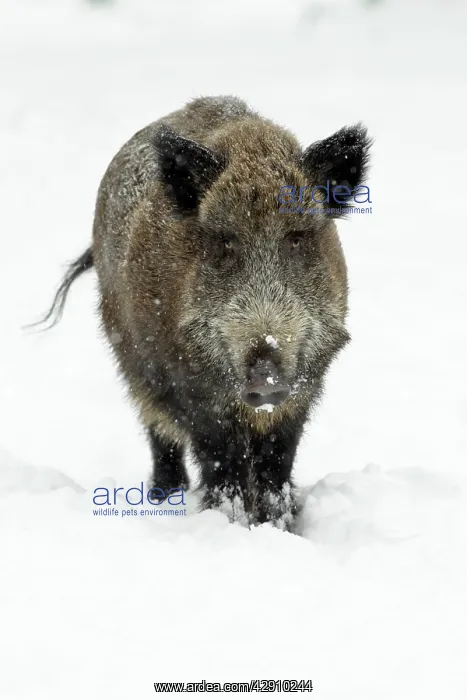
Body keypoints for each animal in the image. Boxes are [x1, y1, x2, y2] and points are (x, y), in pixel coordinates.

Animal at [42, 96, 371, 530]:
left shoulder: (304, 387)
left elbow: (276, 463)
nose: (265, 375)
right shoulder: (195, 389)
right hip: (131, 360)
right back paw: (165, 495)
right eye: (226, 242)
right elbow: (222, 461)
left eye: (297, 238)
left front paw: (279, 527)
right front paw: (231, 524)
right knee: (158, 430)